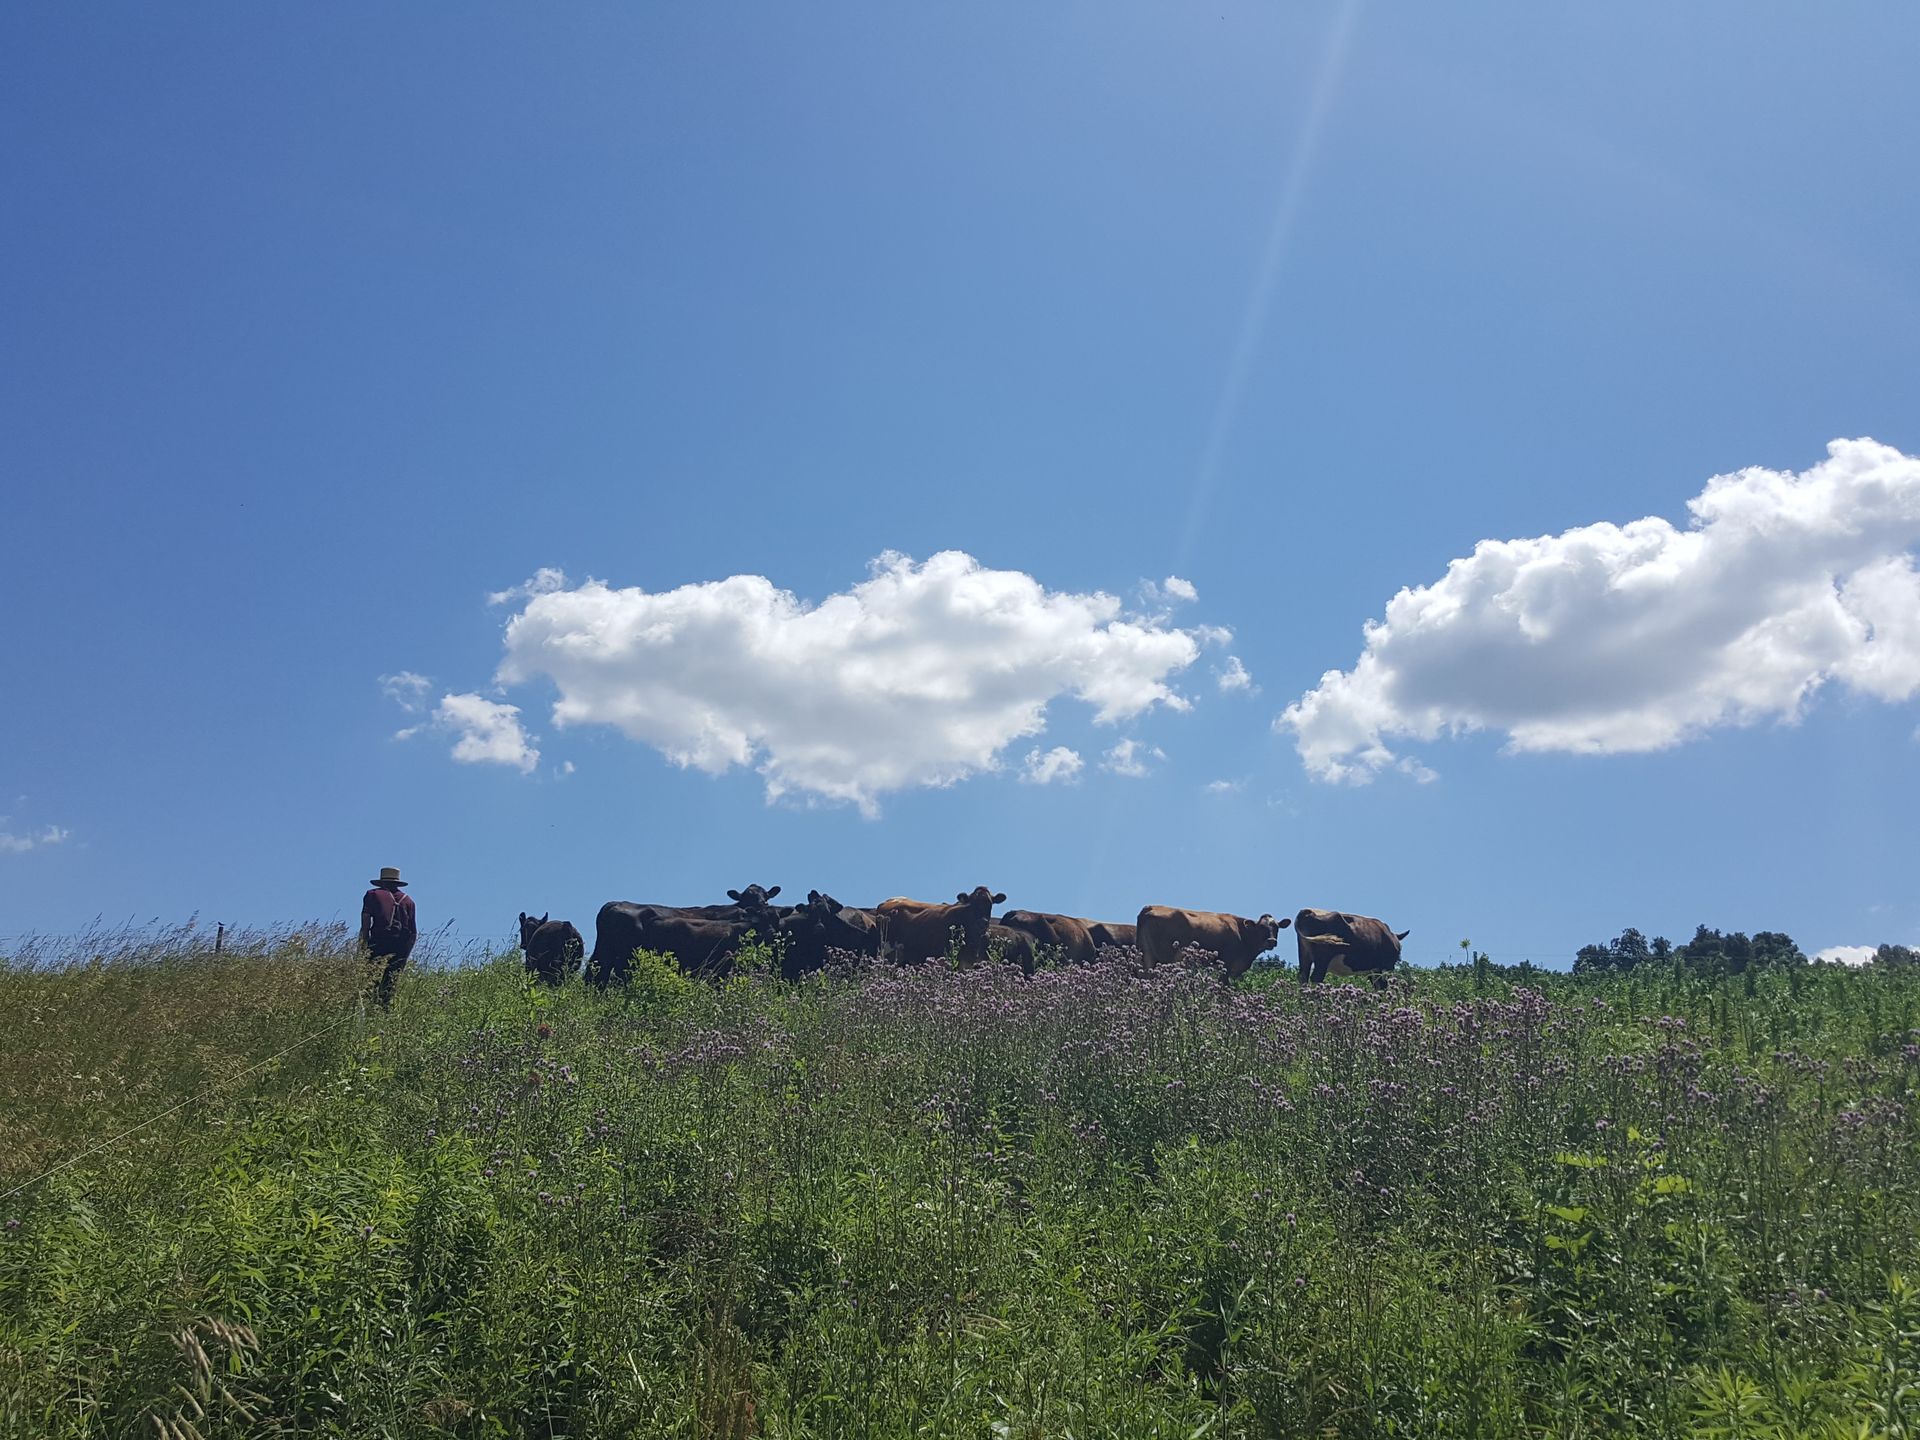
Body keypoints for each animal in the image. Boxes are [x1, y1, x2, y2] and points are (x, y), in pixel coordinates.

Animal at [1135, 905, 1289, 981]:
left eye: (1276, 927)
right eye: (1261, 927)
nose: (1271, 941)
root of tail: (1149, 907)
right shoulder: (1226, 963)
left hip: (1145, 955)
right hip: (1163, 958)